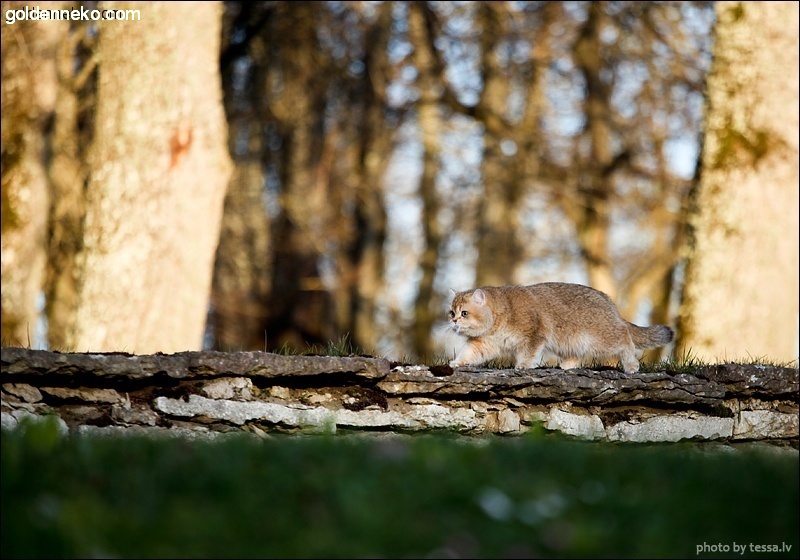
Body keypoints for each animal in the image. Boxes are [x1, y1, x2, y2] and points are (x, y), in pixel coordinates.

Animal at [450, 282, 676, 374]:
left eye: (464, 313)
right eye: (451, 312)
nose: (453, 322)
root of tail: (607, 301)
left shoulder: (534, 335)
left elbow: (528, 354)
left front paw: (523, 366)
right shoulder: (484, 343)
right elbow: (468, 353)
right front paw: (456, 363)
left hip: (602, 337)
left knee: (625, 336)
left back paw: (631, 365)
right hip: (569, 340)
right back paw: (568, 365)